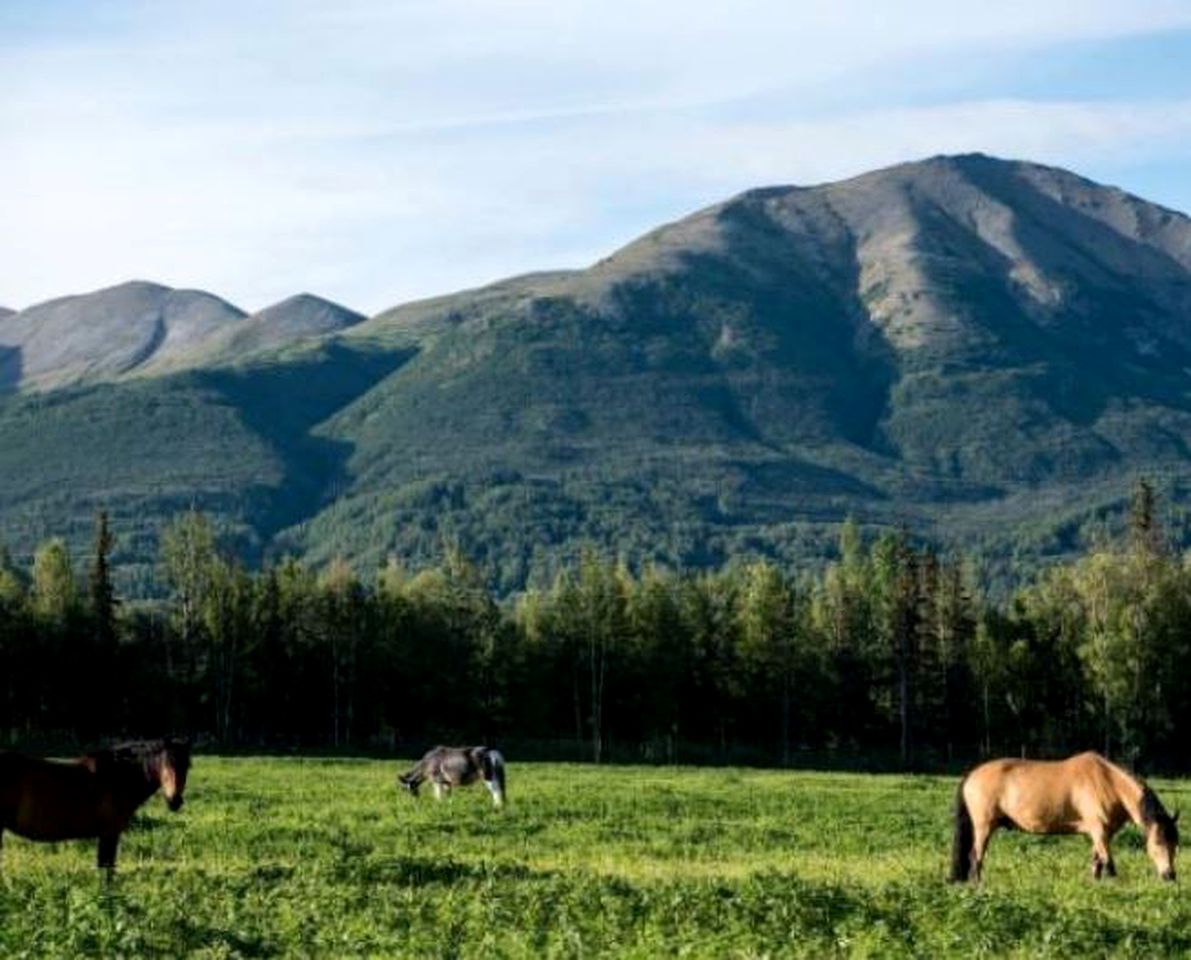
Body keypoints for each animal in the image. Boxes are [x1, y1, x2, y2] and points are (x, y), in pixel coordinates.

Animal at [0, 738, 190, 876]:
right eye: (165, 764)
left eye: (187, 766)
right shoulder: (109, 834)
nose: (175, 801)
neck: (117, 777)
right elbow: (106, 871)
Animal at [952, 757, 1176, 881]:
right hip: (983, 827)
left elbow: (1097, 862)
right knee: (975, 857)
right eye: (1158, 842)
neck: (1107, 782)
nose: (1170, 876)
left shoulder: (1101, 834)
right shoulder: (1099, 831)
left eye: (1175, 843)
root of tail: (972, 775)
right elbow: (1109, 864)